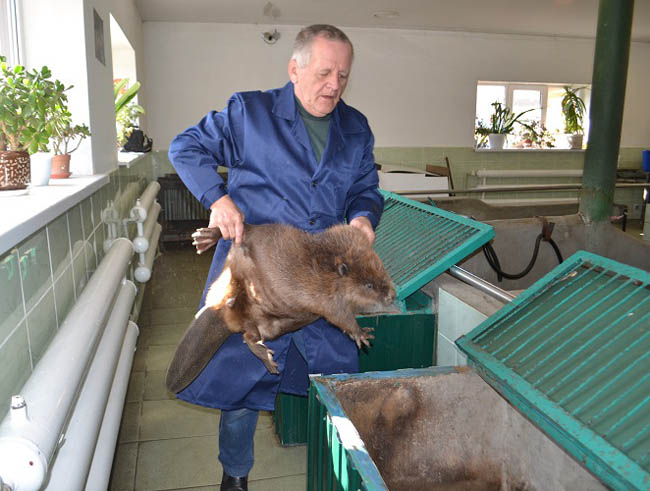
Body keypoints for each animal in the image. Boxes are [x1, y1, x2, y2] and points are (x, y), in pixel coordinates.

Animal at [165, 223, 396, 393]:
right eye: (369, 285)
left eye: (383, 272)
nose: (392, 295)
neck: (326, 268)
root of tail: (218, 311)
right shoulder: (325, 297)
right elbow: (340, 316)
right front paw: (362, 334)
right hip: (245, 248)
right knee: (242, 228)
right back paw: (204, 237)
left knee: (249, 333)